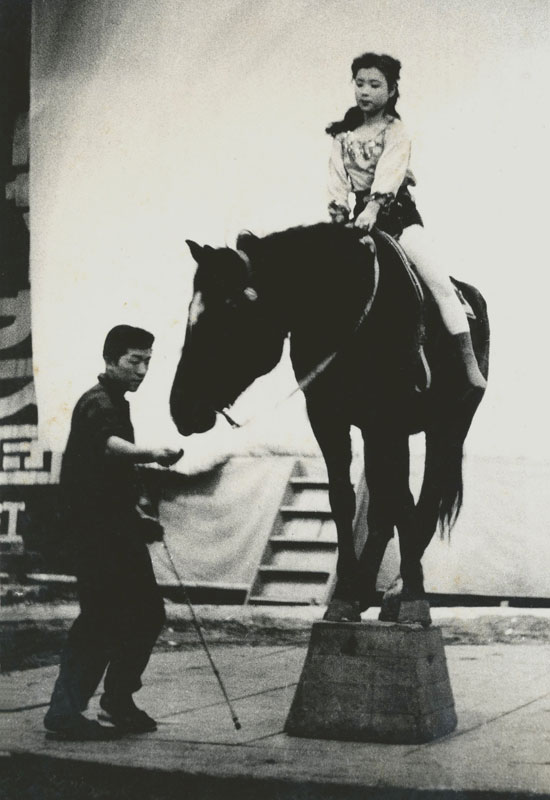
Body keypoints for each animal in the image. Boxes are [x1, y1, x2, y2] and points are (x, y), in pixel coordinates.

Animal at [170, 222, 489, 623]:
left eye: (228, 314)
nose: (180, 408)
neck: (342, 306)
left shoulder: (390, 420)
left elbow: (403, 501)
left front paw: (414, 599)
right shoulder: (329, 417)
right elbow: (344, 499)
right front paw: (345, 597)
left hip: (448, 427)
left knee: (426, 499)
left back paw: (397, 592)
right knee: (385, 507)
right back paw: (369, 588)